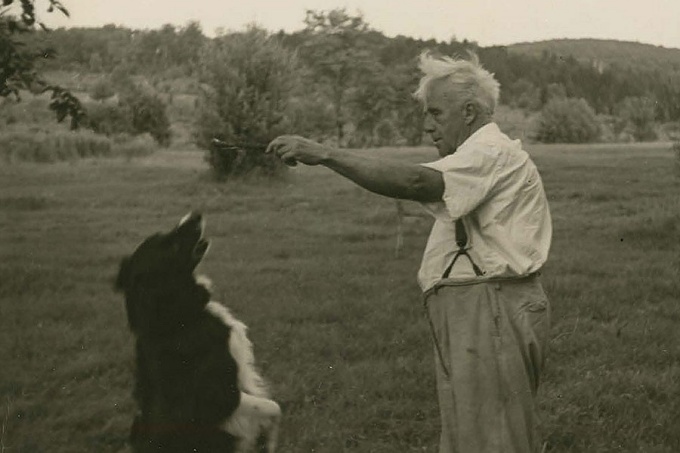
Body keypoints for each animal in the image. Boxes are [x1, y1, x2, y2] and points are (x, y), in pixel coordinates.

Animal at [115, 213, 280, 452]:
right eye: (171, 245)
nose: (196, 214)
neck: (179, 320)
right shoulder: (222, 398)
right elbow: (274, 407)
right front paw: (270, 441)